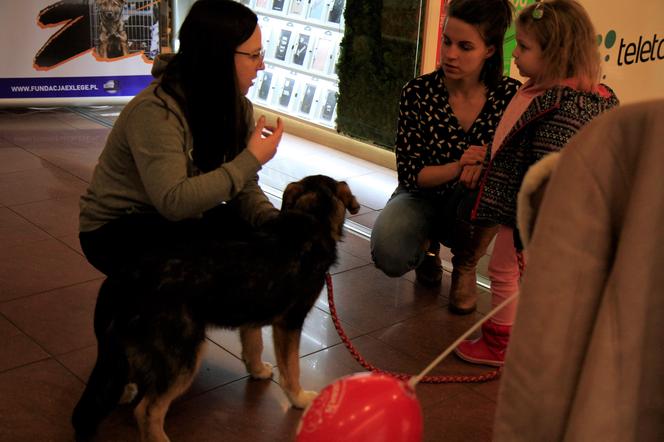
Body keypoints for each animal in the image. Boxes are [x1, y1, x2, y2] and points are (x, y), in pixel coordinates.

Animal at [71, 176, 358, 442]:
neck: (308, 220)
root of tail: (123, 280)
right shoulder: (290, 323)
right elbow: (292, 368)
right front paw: (299, 399)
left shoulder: (251, 313)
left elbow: (254, 345)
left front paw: (258, 371)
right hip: (184, 355)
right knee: (147, 411)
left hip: (126, 348)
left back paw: (126, 389)